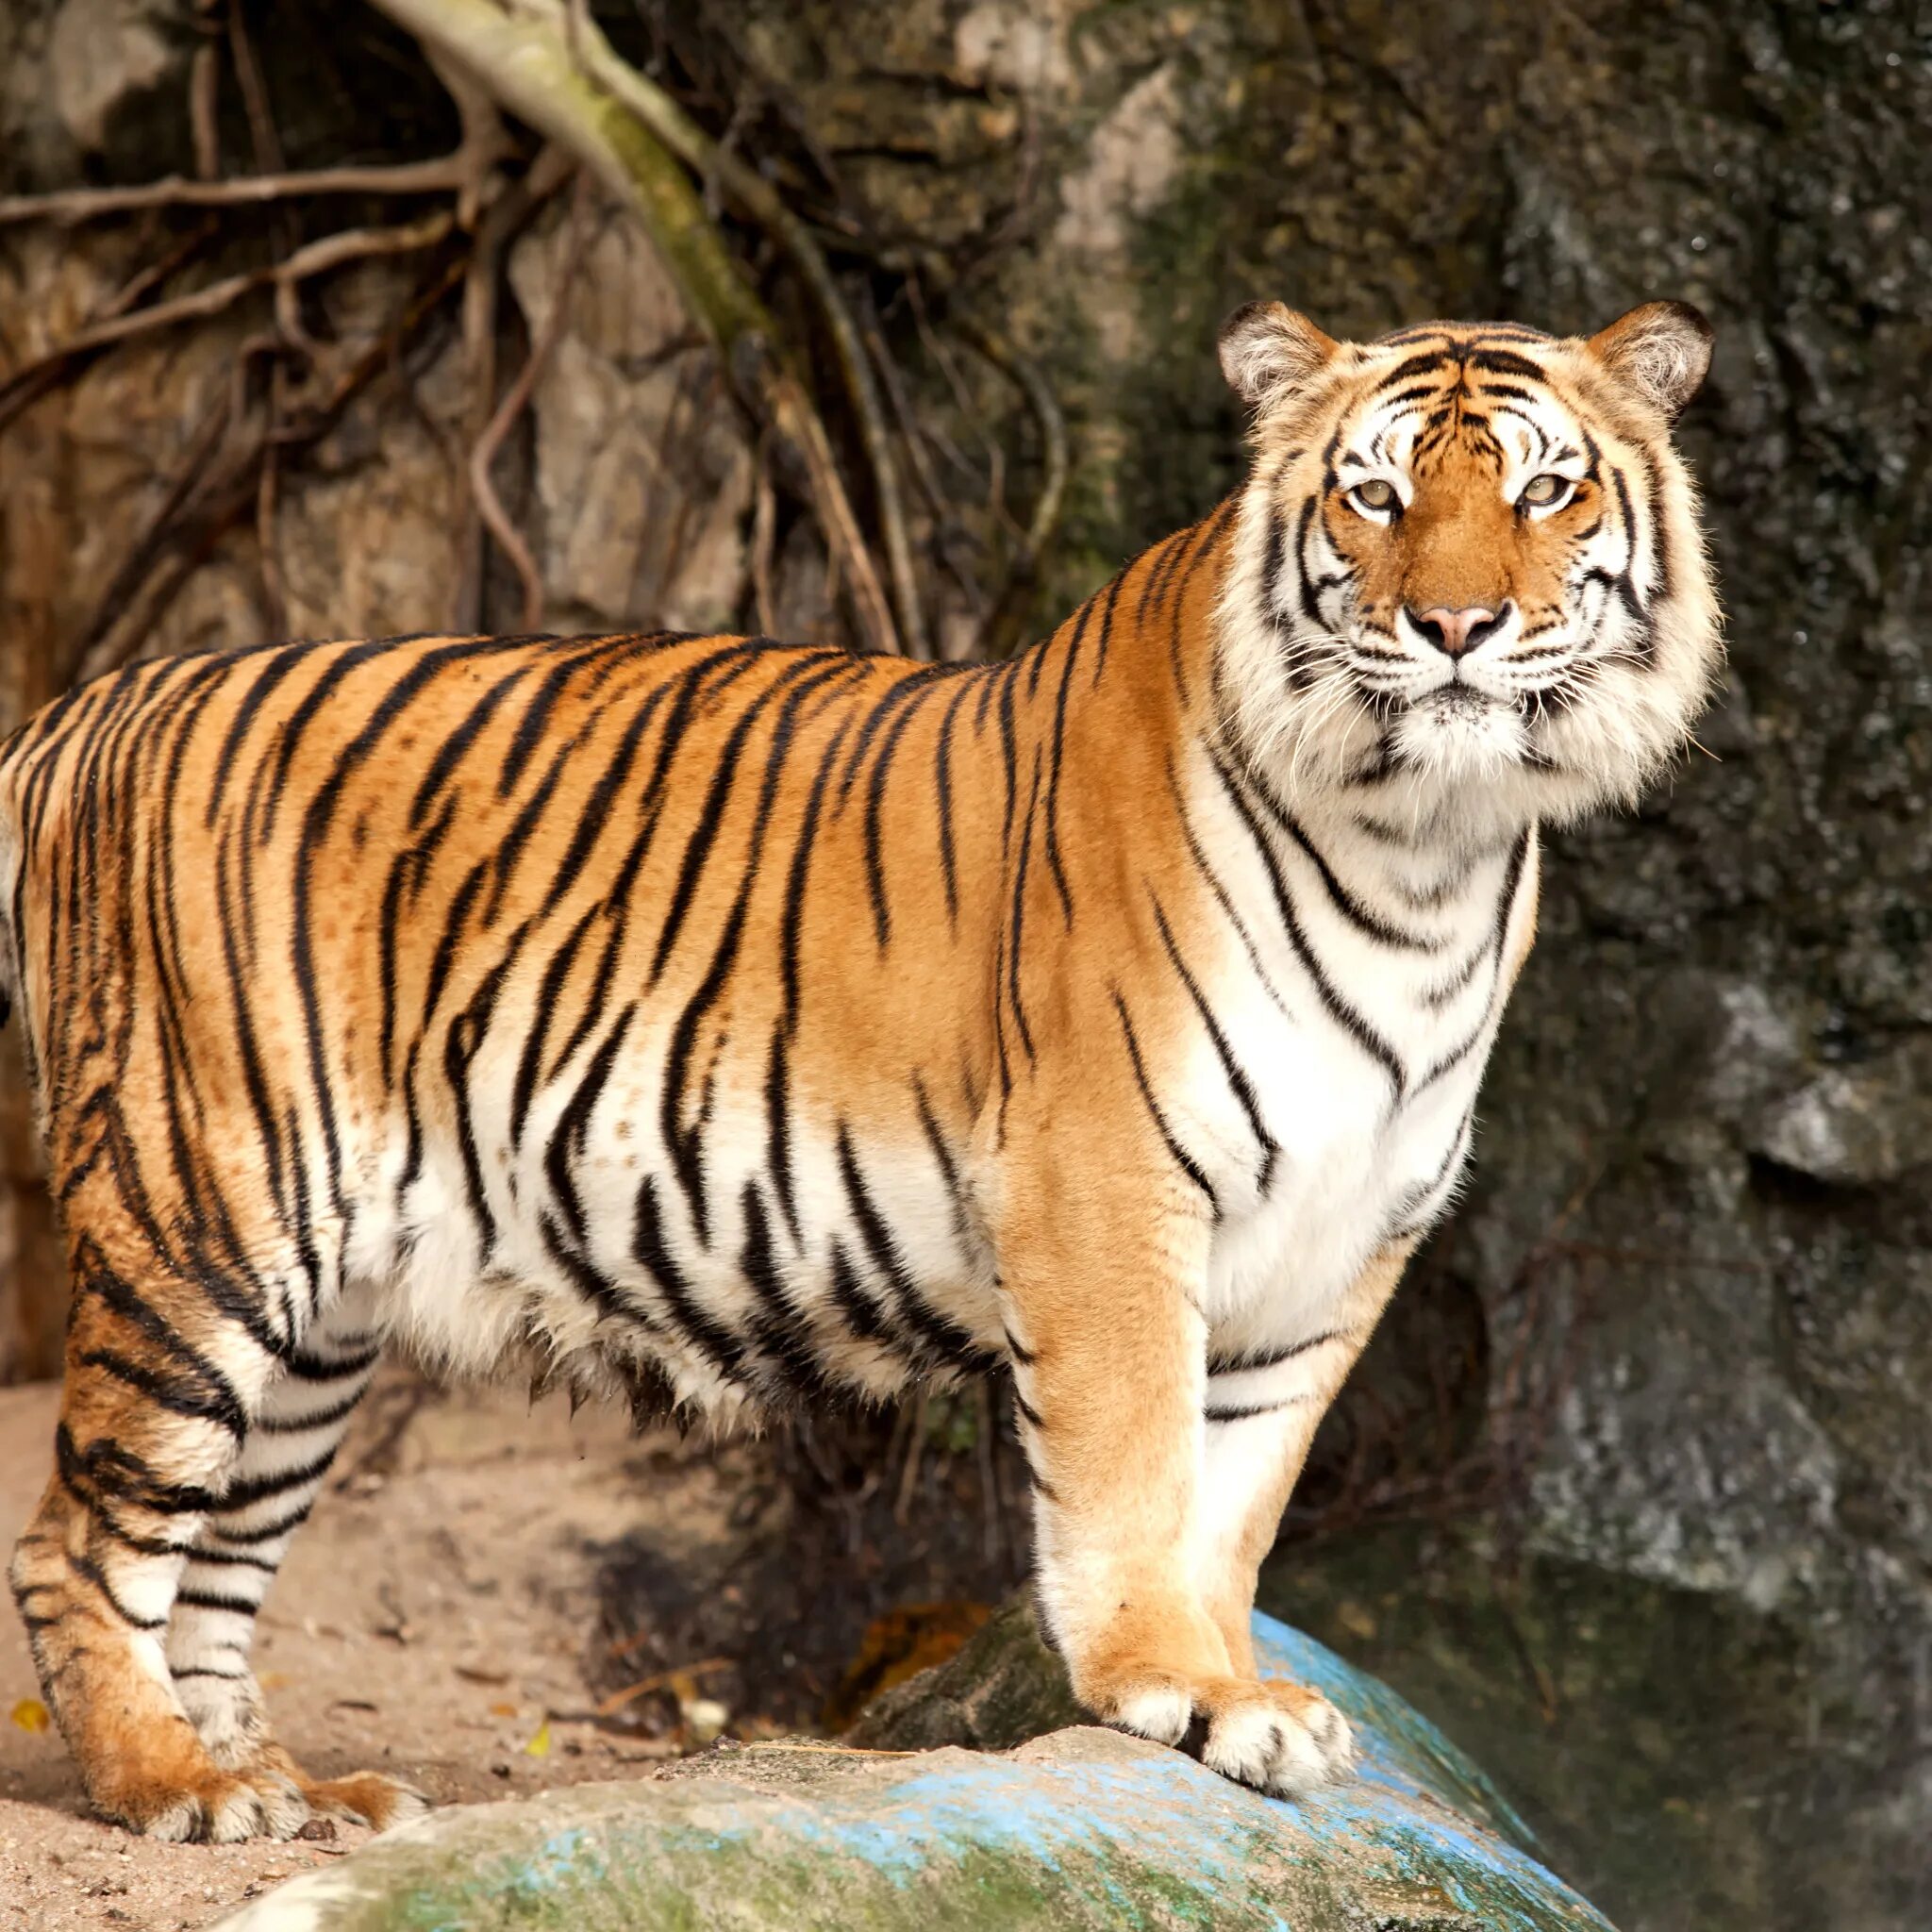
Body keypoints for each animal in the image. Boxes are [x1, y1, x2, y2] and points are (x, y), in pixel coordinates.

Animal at [0, 297, 1723, 1839]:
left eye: (1542, 491)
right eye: (1372, 495)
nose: (1455, 630)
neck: (1428, 848)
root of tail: (95, 700)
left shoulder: (1340, 1242)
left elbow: (1232, 1505)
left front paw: (1240, 1693)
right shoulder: (1102, 1185)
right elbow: (1134, 1468)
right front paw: (1175, 1688)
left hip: (324, 1308)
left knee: (218, 1563)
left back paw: (282, 1785)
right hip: (204, 1215)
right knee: (83, 1537)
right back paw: (172, 1788)